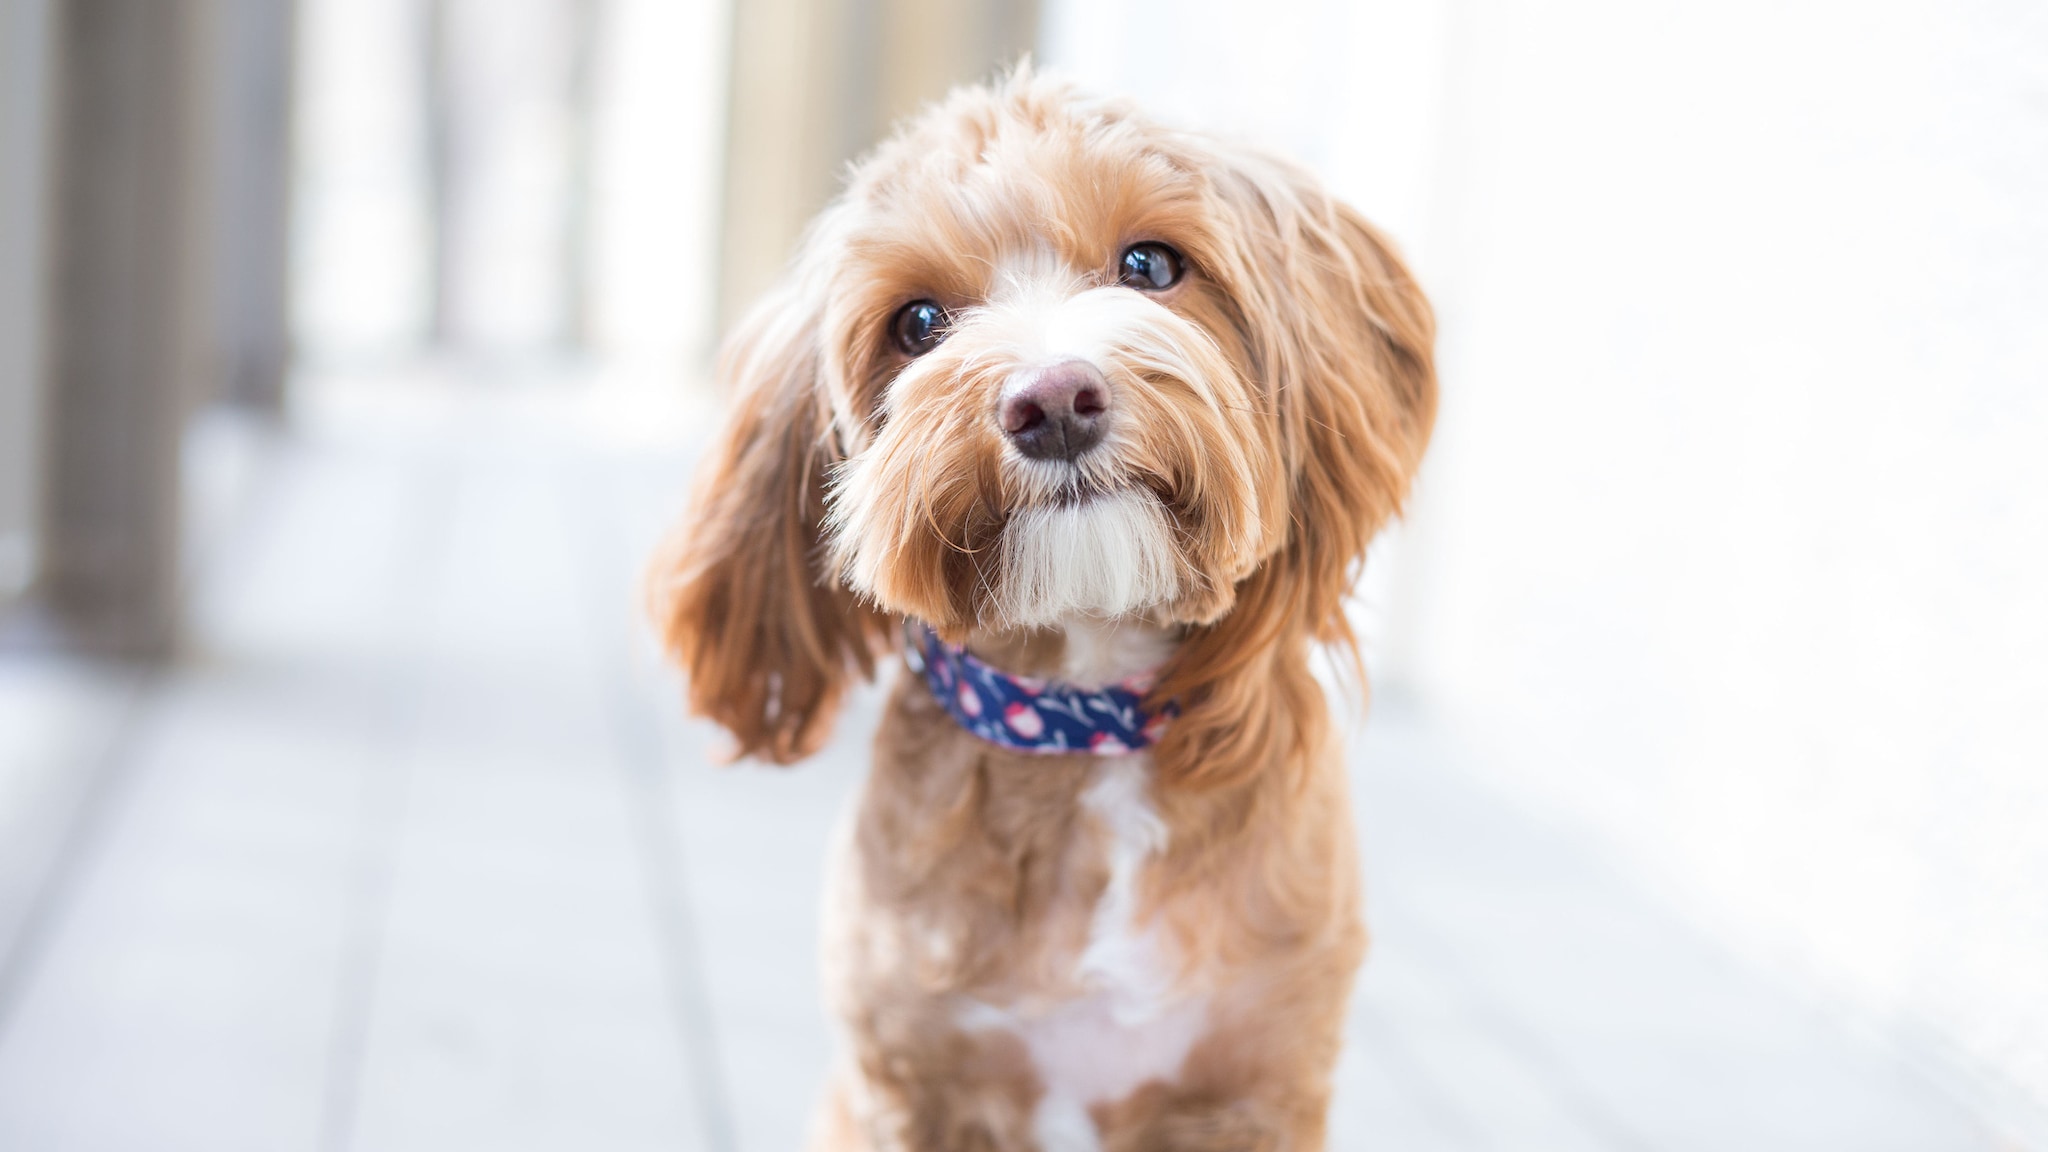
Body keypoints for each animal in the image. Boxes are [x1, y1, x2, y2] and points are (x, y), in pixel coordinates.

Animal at [647, 69, 1433, 1147]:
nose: (1053, 399)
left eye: (1149, 264)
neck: (1083, 722)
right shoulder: (906, 1082)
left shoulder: (1254, 1086)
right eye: (918, 324)